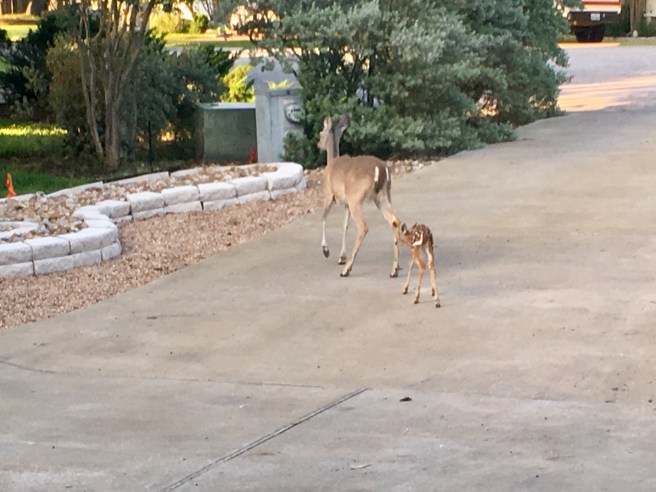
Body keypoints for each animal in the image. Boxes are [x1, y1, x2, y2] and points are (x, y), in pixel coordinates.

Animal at [318, 114, 400, 278]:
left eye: (320, 133)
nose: (318, 144)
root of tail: (381, 169)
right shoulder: (346, 203)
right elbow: (345, 226)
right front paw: (341, 257)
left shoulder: (329, 194)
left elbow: (323, 218)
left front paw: (326, 250)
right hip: (382, 196)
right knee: (395, 220)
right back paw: (394, 269)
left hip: (356, 198)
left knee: (363, 227)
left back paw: (346, 270)